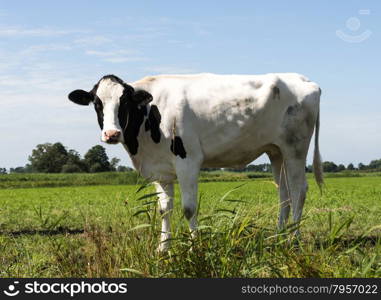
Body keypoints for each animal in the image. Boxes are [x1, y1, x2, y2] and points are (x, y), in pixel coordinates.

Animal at [67, 73, 320, 253]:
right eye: (97, 103)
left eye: (125, 102)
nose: (111, 134)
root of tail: (305, 81)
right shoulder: (160, 170)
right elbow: (164, 209)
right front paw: (163, 249)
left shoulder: (187, 160)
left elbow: (189, 208)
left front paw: (193, 247)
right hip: (276, 151)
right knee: (283, 193)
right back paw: (278, 236)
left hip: (295, 149)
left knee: (298, 190)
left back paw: (294, 240)